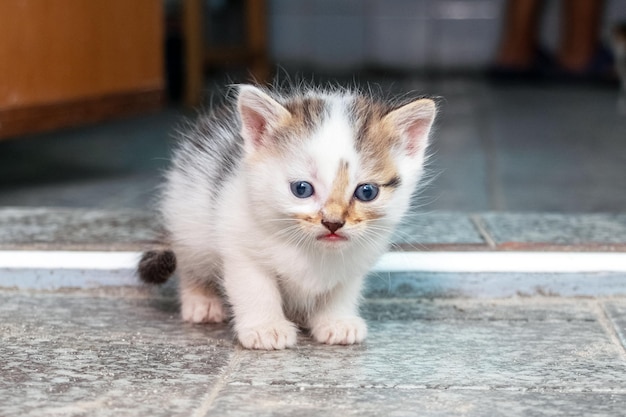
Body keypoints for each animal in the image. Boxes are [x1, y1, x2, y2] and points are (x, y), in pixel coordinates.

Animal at [139, 83, 436, 348]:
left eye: (367, 192)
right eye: (301, 189)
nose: (333, 222)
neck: (310, 251)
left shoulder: (355, 259)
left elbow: (341, 289)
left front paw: (336, 321)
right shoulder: (239, 240)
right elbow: (256, 287)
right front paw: (265, 328)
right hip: (188, 216)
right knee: (191, 261)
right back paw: (201, 301)